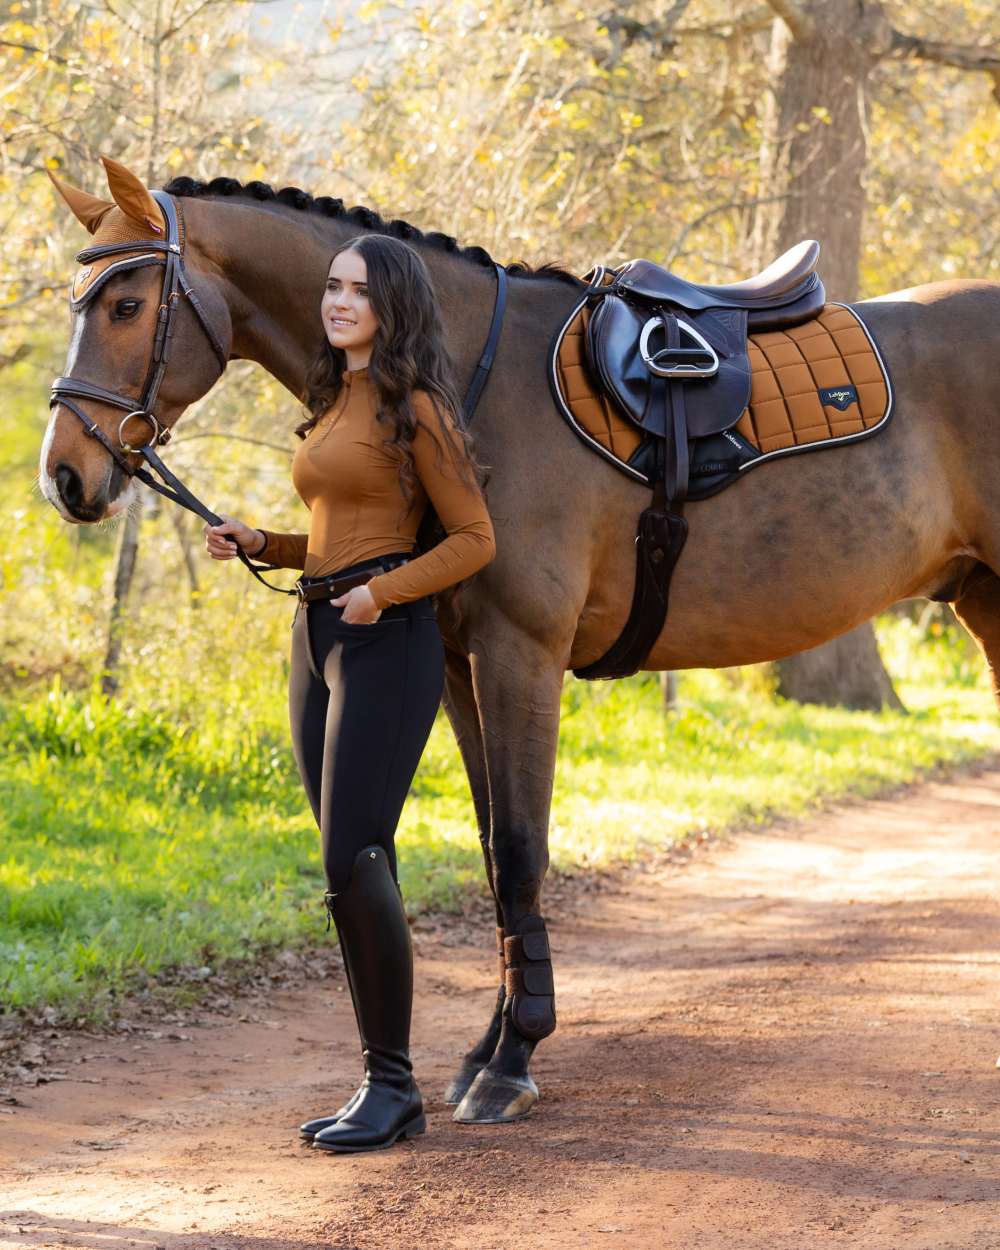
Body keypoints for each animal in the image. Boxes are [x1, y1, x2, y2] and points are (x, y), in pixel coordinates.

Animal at [37, 153, 1000, 1125]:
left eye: (125, 305)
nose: (64, 477)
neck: (465, 375)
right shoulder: (457, 664)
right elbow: (494, 844)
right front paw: (489, 1049)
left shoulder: (520, 655)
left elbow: (522, 850)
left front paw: (512, 1059)